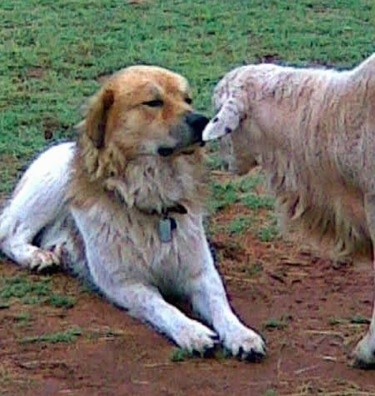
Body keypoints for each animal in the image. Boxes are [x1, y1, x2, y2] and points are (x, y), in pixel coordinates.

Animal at [0, 65, 268, 358]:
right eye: (153, 102)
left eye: (187, 99)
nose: (202, 121)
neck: (155, 202)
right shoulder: (125, 282)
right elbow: (161, 306)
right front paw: (192, 331)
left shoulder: (200, 271)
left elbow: (221, 305)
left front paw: (241, 334)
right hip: (55, 179)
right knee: (12, 234)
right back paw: (36, 256)